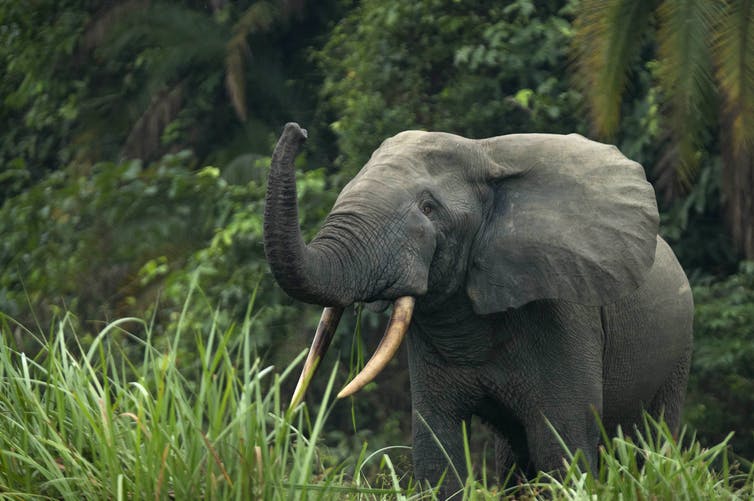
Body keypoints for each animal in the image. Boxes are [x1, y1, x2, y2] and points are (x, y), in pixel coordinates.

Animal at [263, 123, 694, 496]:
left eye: (429, 208)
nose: (297, 132)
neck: (486, 155)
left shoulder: (564, 315)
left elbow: (561, 446)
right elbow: (437, 448)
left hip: (678, 354)